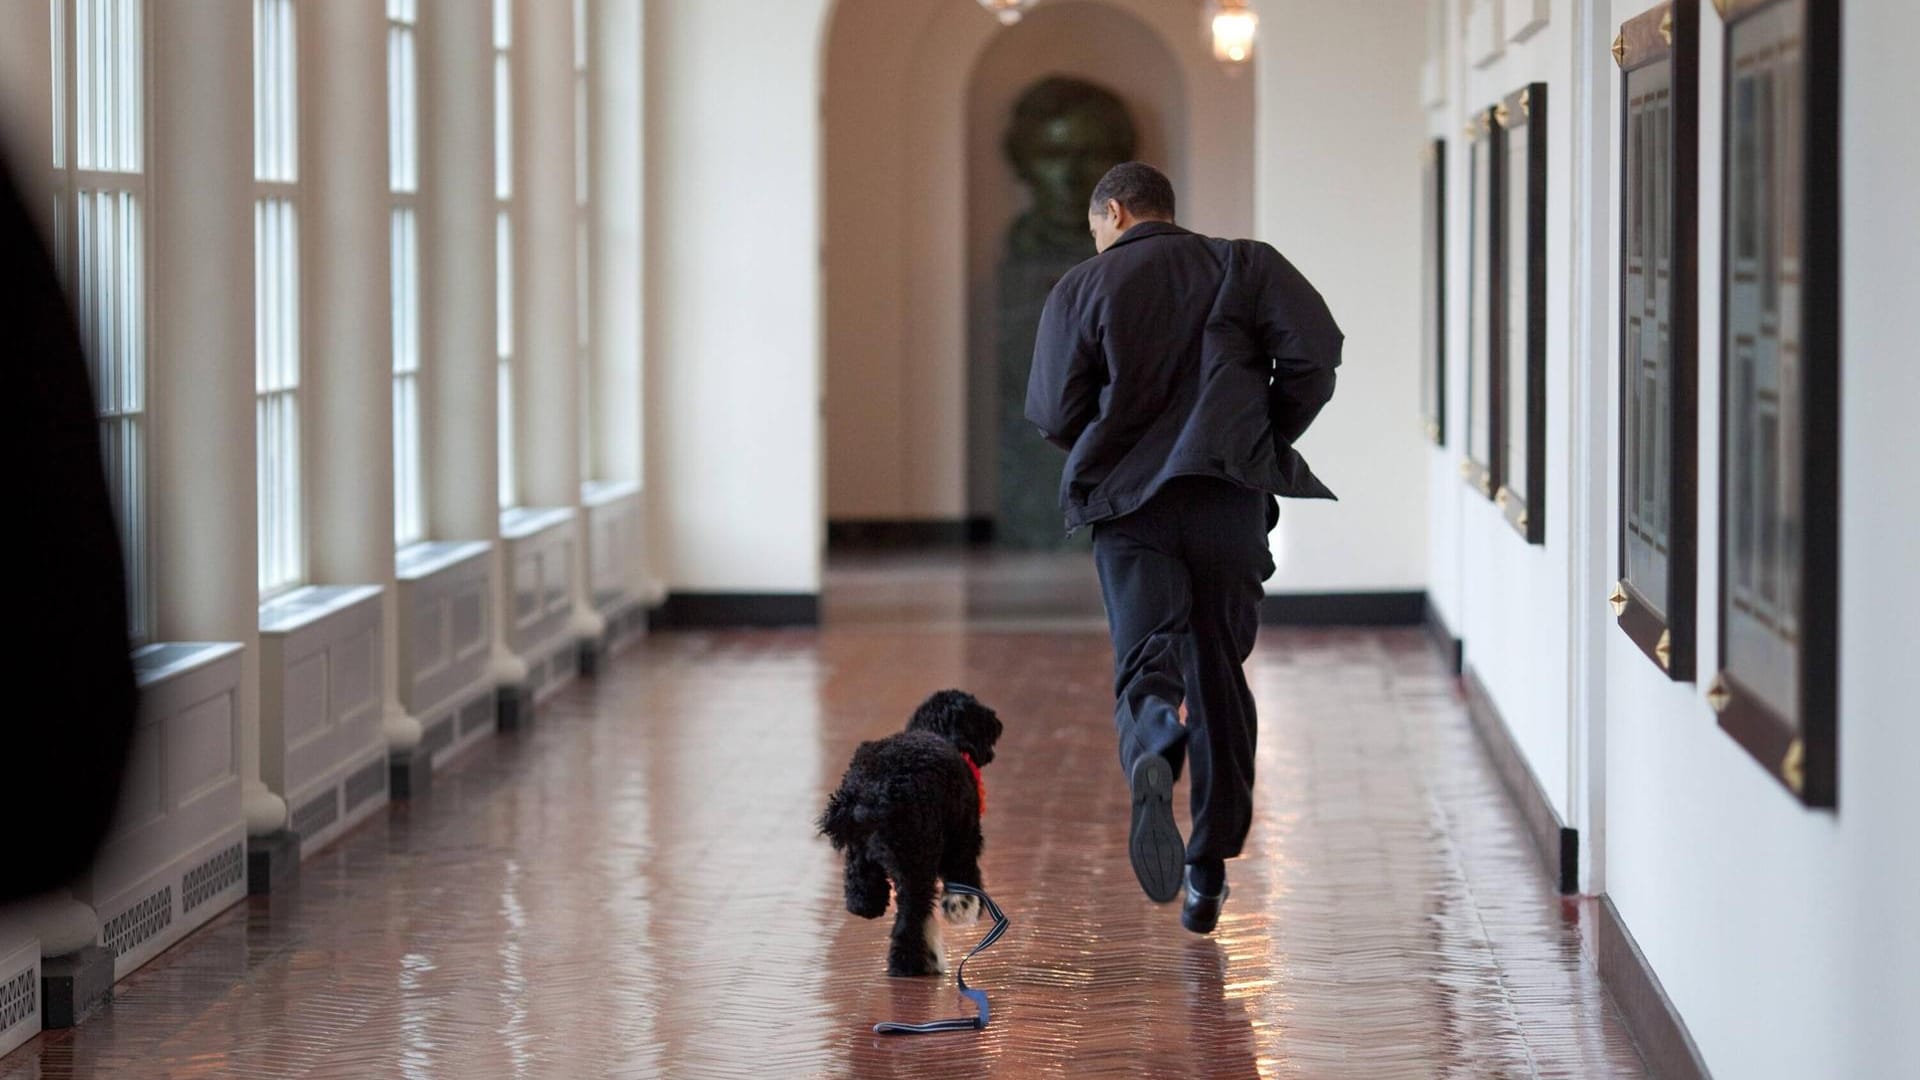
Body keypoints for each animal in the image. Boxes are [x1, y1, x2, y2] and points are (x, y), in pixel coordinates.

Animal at [817, 687, 1006, 976]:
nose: (998, 723)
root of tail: (873, 793)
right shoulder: (963, 841)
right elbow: (964, 882)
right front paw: (962, 909)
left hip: (865, 856)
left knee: (862, 894)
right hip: (917, 862)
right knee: (910, 918)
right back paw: (908, 964)